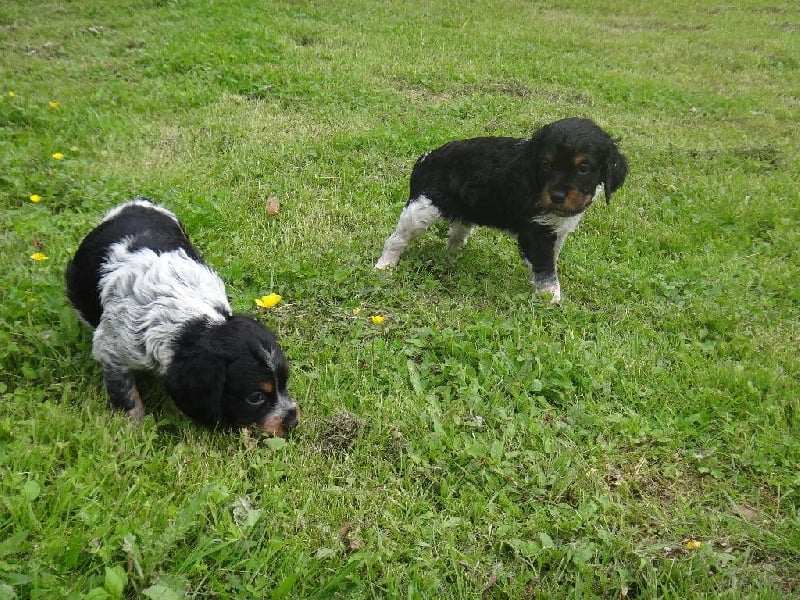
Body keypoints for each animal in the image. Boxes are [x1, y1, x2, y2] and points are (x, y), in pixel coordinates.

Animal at [65, 199, 300, 434]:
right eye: (255, 397)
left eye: (284, 382)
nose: (292, 421)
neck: (188, 324)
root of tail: (133, 205)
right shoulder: (111, 350)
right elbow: (125, 394)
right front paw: (133, 427)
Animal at [376, 118, 632, 304]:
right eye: (546, 164)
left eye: (584, 168)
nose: (557, 196)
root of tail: (425, 158)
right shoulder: (535, 231)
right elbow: (545, 268)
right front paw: (551, 298)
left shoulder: (556, 230)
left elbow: (551, 259)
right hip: (423, 209)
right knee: (396, 239)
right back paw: (385, 265)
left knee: (456, 235)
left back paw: (451, 258)